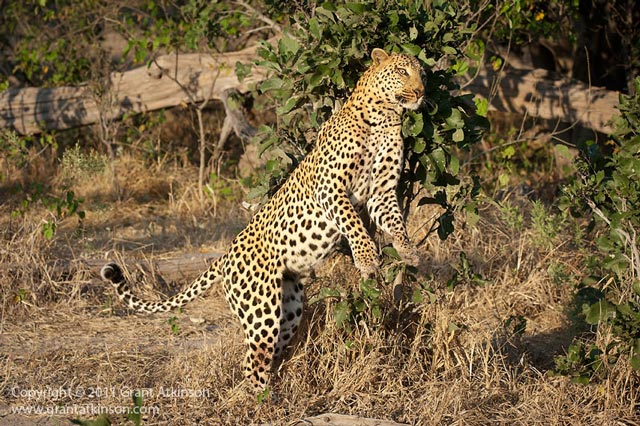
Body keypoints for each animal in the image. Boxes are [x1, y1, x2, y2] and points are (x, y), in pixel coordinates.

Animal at [101, 48, 424, 392]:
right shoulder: (330, 187)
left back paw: (276, 390)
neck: (385, 116)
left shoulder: (382, 191)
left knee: (268, 352)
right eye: (402, 72)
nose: (420, 92)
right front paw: (366, 259)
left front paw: (408, 251)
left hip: (290, 307)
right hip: (261, 310)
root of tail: (226, 255)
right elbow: (352, 222)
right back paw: (264, 400)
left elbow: (395, 221)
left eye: (422, 73)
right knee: (252, 363)